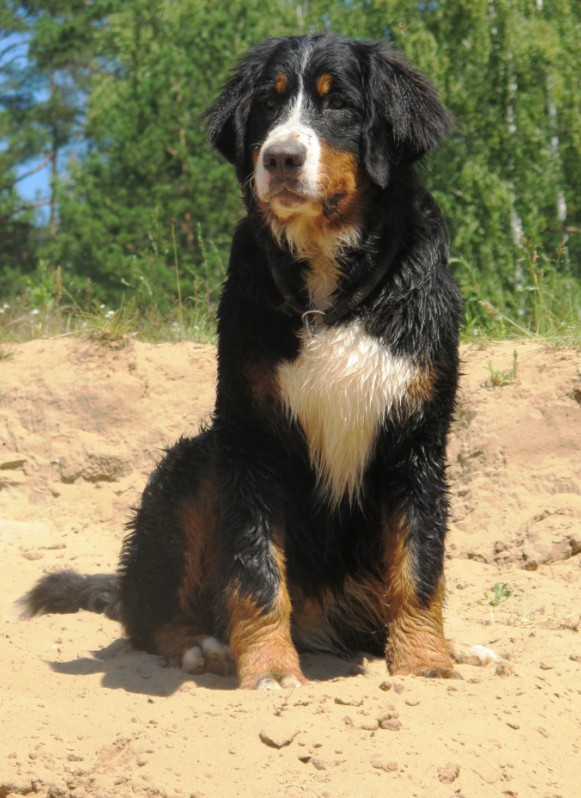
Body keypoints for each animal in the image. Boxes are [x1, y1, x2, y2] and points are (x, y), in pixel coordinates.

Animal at [22, 34, 482, 692]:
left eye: (338, 103)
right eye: (268, 104)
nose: (282, 157)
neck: (329, 297)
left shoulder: (416, 438)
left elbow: (419, 562)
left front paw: (424, 659)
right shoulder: (251, 435)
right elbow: (255, 566)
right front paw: (269, 668)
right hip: (190, 468)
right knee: (147, 615)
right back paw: (204, 647)